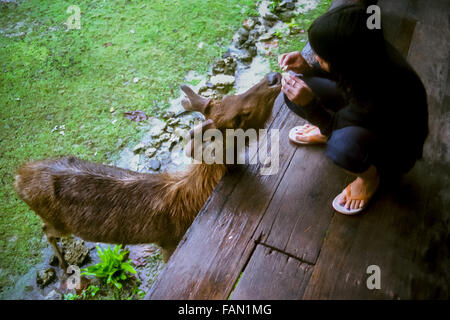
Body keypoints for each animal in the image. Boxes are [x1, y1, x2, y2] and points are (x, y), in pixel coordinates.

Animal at [14, 72, 282, 270]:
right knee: (46, 230)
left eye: (231, 95)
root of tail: (18, 177)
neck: (195, 199)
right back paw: (63, 264)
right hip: (57, 221)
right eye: (239, 117)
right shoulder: (169, 242)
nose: (273, 77)